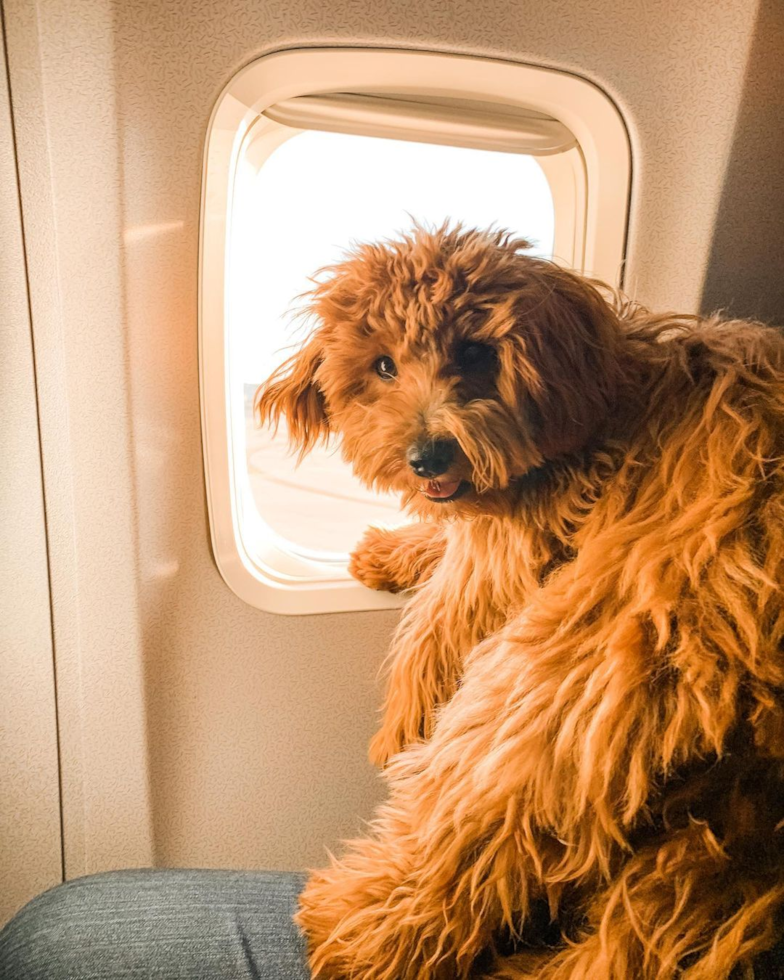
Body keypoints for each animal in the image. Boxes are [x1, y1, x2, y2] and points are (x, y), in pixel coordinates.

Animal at [254, 226, 784, 976]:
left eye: (475, 353)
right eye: (383, 366)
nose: (428, 456)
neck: (597, 404)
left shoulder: (509, 553)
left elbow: (440, 621)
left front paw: (403, 719)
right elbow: (444, 540)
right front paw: (387, 552)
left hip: (589, 657)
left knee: (485, 804)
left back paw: (356, 931)